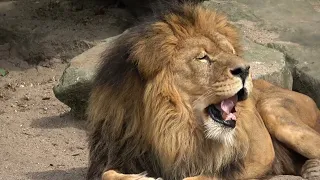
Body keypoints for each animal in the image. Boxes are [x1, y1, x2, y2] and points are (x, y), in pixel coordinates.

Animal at [85, 1, 320, 180]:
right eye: (203, 57)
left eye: (231, 51)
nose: (246, 69)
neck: (173, 129)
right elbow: (107, 174)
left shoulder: (249, 158)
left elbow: (199, 177)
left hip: (273, 109)